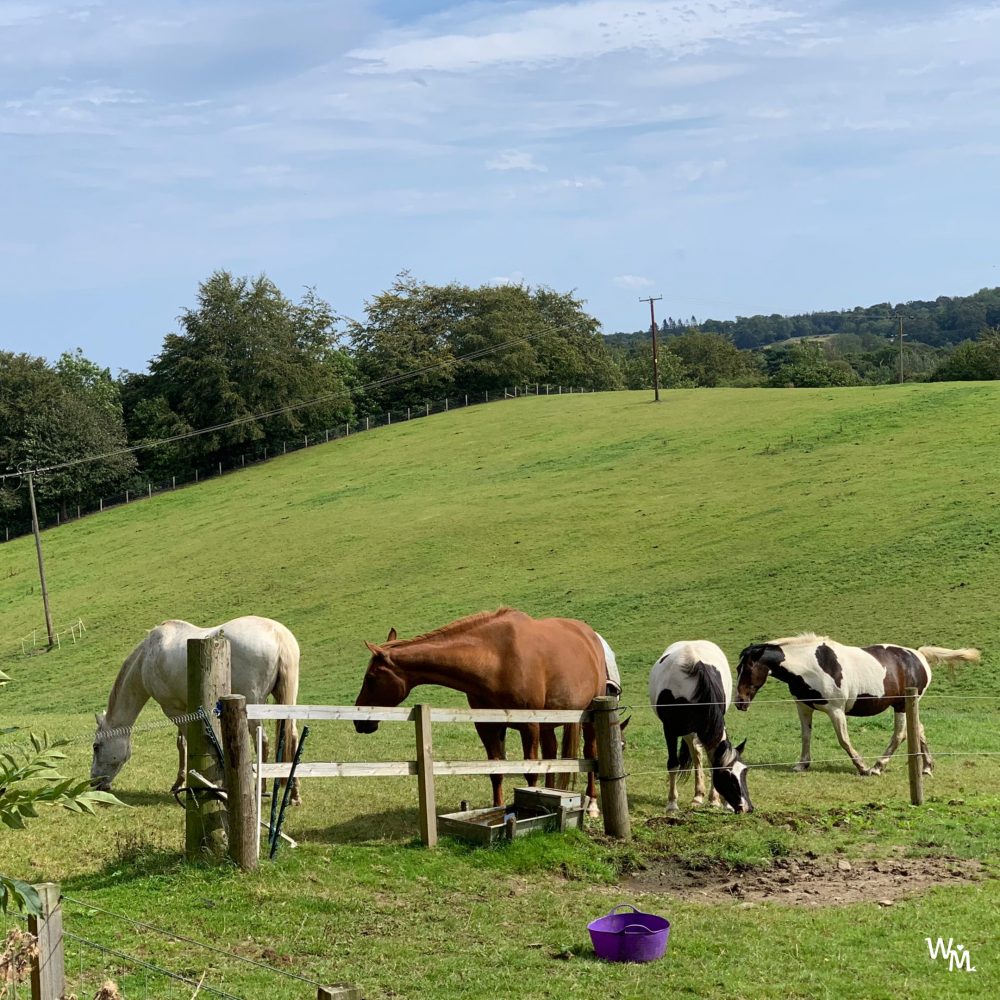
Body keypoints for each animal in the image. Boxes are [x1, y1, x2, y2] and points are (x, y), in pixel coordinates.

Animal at [91, 612, 300, 800]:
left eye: (96, 747)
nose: (94, 782)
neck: (148, 657)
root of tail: (278, 635)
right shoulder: (184, 708)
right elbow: (181, 744)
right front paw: (179, 782)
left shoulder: (172, 709)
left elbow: (187, 742)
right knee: (293, 735)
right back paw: (294, 793)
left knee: (262, 741)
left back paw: (260, 790)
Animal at [352, 604, 616, 816]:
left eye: (371, 678)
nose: (359, 720)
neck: (496, 659)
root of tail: (591, 636)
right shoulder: (488, 727)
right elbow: (496, 771)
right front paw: (497, 809)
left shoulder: (528, 726)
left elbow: (530, 773)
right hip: (548, 723)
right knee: (551, 755)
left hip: (589, 718)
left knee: (590, 753)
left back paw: (592, 805)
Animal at [648, 640, 752, 812]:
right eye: (727, 776)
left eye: (744, 772)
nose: (747, 808)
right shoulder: (670, 729)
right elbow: (673, 764)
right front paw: (672, 804)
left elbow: (711, 761)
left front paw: (715, 800)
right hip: (688, 730)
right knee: (696, 755)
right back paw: (697, 796)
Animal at [732, 636, 980, 776]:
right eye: (737, 668)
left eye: (749, 668)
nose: (739, 702)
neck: (811, 665)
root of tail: (918, 655)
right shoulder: (803, 707)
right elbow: (805, 735)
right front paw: (802, 765)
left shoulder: (836, 710)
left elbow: (843, 739)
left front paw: (861, 767)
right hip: (909, 705)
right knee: (918, 730)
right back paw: (927, 767)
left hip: (901, 705)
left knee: (900, 734)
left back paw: (878, 767)